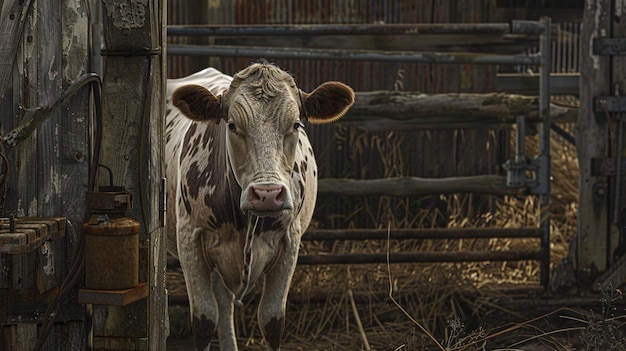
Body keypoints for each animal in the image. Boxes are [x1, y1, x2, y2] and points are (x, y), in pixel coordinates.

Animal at [163, 62, 354, 350]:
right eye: (232, 125)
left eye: (296, 124)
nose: (267, 194)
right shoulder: (190, 239)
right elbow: (204, 320)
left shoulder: (290, 243)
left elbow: (272, 320)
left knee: (224, 299)